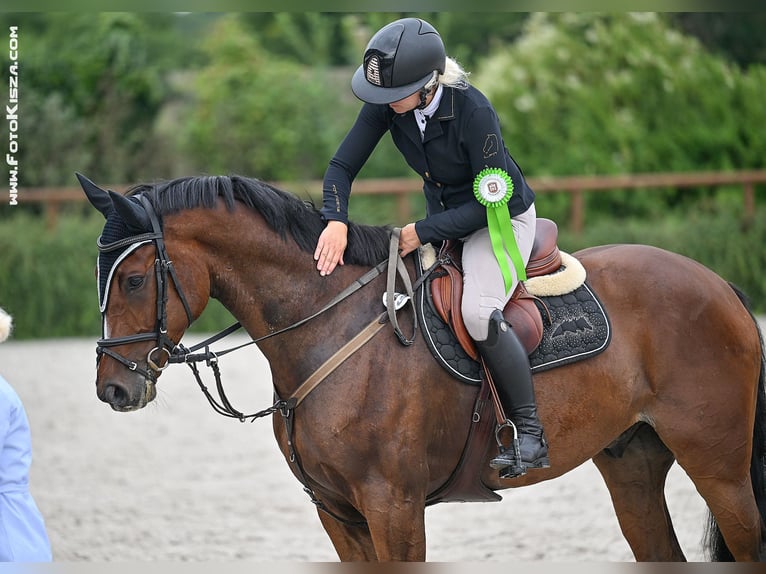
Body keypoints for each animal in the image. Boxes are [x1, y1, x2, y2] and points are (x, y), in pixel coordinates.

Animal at [75, 172, 764, 564]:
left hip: (719, 468)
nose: (114, 388)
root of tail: (718, 285)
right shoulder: (339, 514)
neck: (327, 326)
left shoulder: (394, 507)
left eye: (134, 279)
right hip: (632, 461)